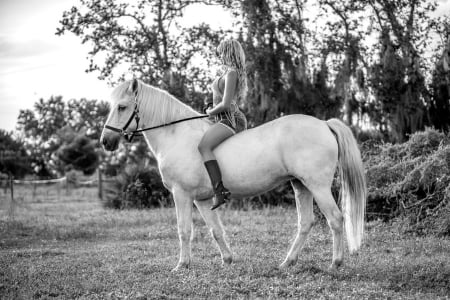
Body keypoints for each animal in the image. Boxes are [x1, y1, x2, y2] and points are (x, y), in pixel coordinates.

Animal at [101, 78, 366, 270]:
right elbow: (215, 230)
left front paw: (182, 265)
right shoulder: (203, 199)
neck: (176, 135)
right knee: (306, 223)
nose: (106, 141)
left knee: (335, 219)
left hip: (317, 186)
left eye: (122, 107)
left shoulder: (181, 194)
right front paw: (227, 260)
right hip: (301, 185)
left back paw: (335, 264)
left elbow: (184, 230)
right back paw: (287, 262)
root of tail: (324, 124)